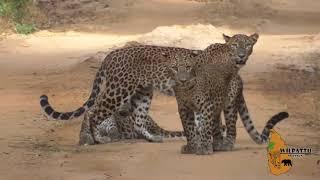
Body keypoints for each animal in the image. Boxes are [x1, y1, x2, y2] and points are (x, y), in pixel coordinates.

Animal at [38, 32, 272, 145]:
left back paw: (153, 139)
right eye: (235, 45)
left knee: (138, 120)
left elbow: (200, 120)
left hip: (143, 93)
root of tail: (111, 54)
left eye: (247, 45)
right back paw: (94, 139)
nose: (241, 55)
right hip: (118, 90)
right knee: (94, 111)